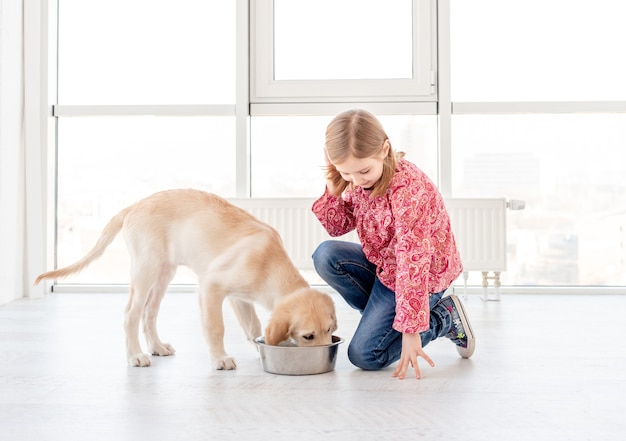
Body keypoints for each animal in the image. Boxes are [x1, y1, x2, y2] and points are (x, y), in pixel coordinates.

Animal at [34, 188, 336, 368]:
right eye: (308, 336)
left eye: (330, 331)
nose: (328, 355)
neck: (270, 263)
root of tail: (133, 206)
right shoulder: (211, 286)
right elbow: (216, 327)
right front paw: (220, 358)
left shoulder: (239, 297)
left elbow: (253, 327)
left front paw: (262, 347)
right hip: (146, 269)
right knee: (132, 313)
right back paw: (135, 355)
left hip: (163, 273)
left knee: (149, 313)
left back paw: (156, 347)